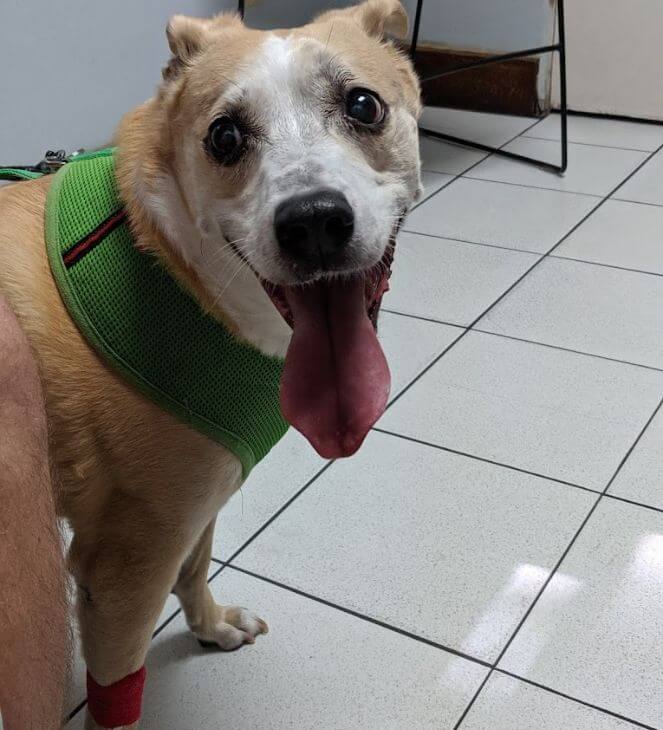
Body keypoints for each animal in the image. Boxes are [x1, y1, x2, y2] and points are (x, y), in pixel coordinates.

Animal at [0, 2, 422, 724]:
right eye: (224, 137)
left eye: (363, 105)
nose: (313, 222)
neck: (171, 272)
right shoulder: (122, 570)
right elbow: (119, 689)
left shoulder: (194, 502)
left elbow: (195, 567)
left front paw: (211, 626)